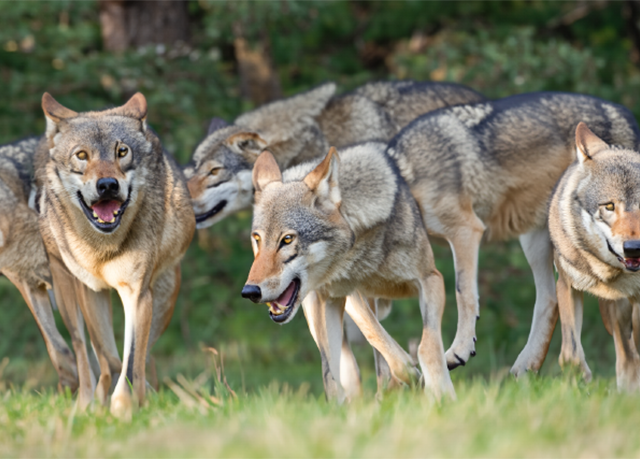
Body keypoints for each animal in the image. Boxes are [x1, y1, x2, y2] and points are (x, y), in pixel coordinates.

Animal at [35, 92, 194, 416]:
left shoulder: (137, 295)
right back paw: (85, 403)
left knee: (146, 356)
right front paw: (100, 407)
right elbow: (108, 358)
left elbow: (132, 360)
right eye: (82, 155)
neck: (102, 249)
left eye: (122, 151)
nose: (107, 185)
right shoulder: (91, 292)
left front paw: (124, 409)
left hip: (163, 301)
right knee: (83, 351)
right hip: (68, 297)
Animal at [241, 145, 456, 402]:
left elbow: (428, 345)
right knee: (338, 368)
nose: (249, 291)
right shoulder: (345, 294)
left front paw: (442, 395)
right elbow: (371, 340)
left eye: (287, 239)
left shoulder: (430, 278)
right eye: (257, 238)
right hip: (318, 308)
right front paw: (415, 381)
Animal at [376, 91, 640, 372]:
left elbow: (464, 294)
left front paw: (460, 349)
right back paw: (526, 367)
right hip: (535, 241)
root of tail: (622, 112)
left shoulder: (465, 230)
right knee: (550, 300)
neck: (407, 172)